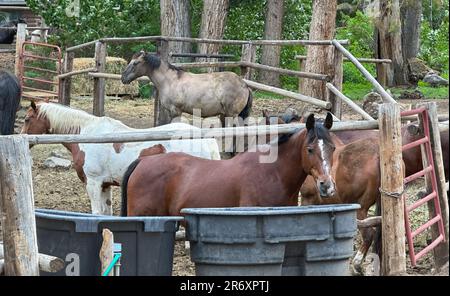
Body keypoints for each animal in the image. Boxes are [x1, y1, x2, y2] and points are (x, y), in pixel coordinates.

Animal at [21, 101, 221, 215]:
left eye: (27, 119)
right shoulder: (105, 185)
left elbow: (96, 213)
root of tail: (204, 139)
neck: (87, 134)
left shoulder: (93, 183)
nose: (22, 137)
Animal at [119, 50, 253, 125]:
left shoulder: (176, 111)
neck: (170, 81)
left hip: (231, 115)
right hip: (225, 115)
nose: (123, 77)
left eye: (135, 63)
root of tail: (244, 85)